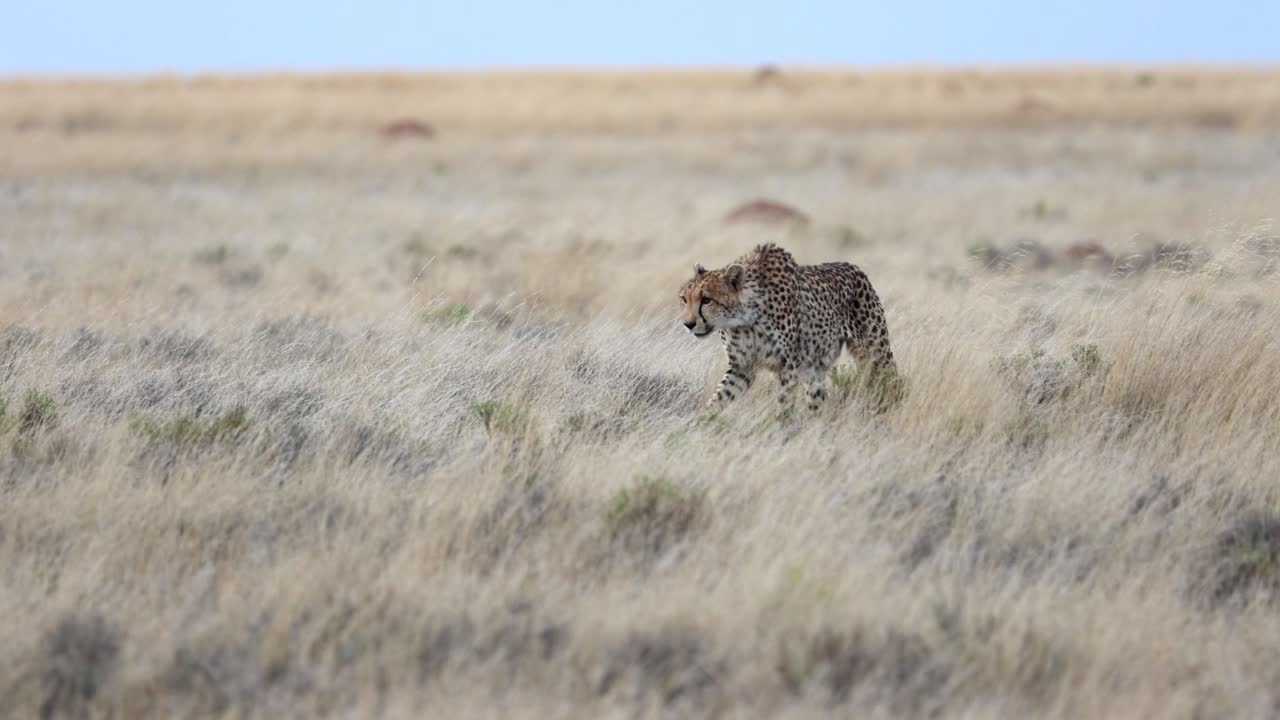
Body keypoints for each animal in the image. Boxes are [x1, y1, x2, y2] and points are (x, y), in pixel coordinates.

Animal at [678, 243, 896, 411]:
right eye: (683, 299)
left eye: (707, 300)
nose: (688, 324)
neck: (745, 320)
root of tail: (852, 266)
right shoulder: (742, 366)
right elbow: (718, 399)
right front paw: (703, 424)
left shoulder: (788, 367)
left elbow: (784, 407)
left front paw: (783, 432)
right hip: (814, 371)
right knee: (816, 402)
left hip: (876, 352)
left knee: (891, 380)